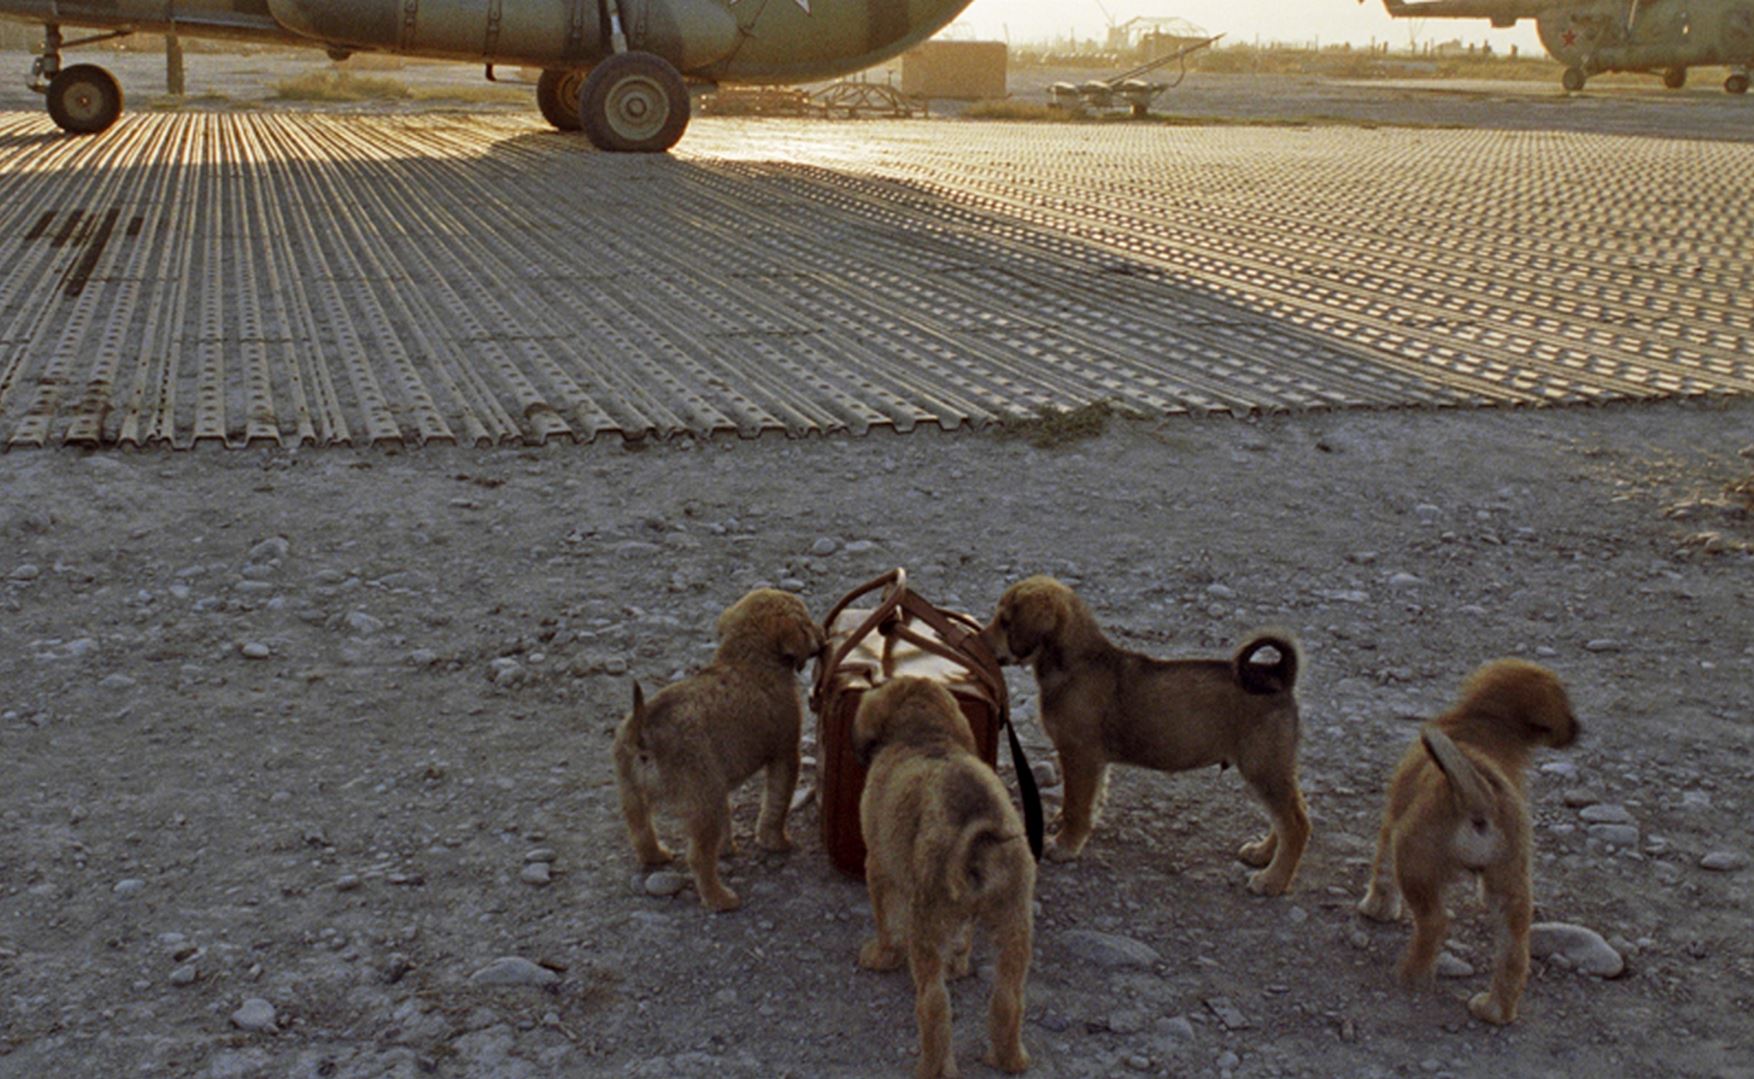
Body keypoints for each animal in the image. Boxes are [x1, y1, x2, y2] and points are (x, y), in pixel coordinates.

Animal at [613, 589, 824, 912]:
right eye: (808, 621)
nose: (824, 636)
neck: (747, 659)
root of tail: (643, 728)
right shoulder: (785, 754)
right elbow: (777, 804)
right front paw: (776, 842)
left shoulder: (721, 781)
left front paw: (727, 849)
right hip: (703, 802)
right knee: (698, 857)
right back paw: (719, 898)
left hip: (632, 794)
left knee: (641, 833)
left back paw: (658, 856)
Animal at [852, 680, 1031, 1073]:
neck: (926, 736)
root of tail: (978, 834)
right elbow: (962, 939)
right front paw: (958, 964)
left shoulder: (878, 866)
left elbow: (886, 922)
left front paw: (881, 955)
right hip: (1015, 924)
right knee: (1008, 997)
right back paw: (1009, 1059)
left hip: (926, 925)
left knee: (934, 1005)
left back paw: (933, 1069)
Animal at [982, 578, 1311, 898]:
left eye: (1005, 622)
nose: (978, 641)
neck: (1077, 662)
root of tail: (1279, 677)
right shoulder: (1094, 762)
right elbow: (1089, 801)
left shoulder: (1079, 754)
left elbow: (1077, 806)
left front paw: (1064, 846)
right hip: (1270, 768)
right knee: (1287, 817)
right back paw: (1263, 854)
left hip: (1262, 766)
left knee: (1296, 824)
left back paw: (1273, 880)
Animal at [1347, 659, 1585, 1031]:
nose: (1579, 728)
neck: (1479, 723)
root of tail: (1480, 800)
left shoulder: (1391, 822)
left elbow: (1381, 872)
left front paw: (1376, 909)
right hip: (1510, 888)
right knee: (1514, 956)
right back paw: (1494, 1010)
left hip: (1414, 861)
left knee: (1434, 922)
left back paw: (1412, 975)